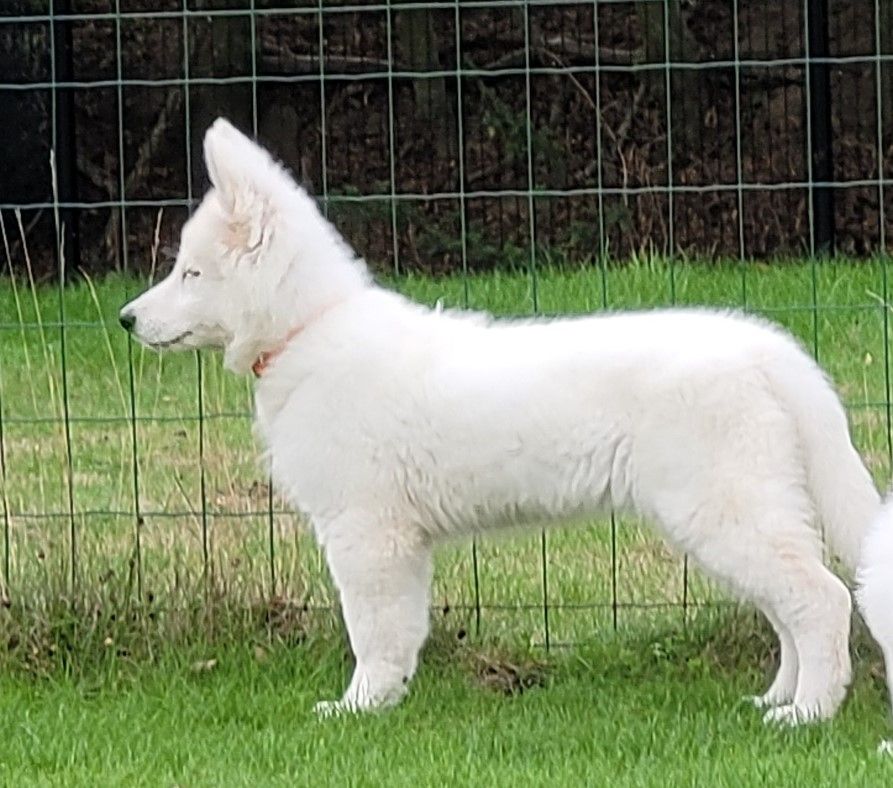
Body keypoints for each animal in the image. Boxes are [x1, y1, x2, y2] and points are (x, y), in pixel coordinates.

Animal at [120, 118, 892, 725]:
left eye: (190, 274)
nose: (126, 319)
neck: (311, 329)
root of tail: (770, 349)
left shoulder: (365, 532)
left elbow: (371, 629)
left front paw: (358, 708)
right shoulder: (401, 542)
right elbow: (402, 628)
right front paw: (388, 701)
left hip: (723, 509)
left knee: (820, 599)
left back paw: (808, 713)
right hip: (738, 513)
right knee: (790, 608)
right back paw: (777, 698)